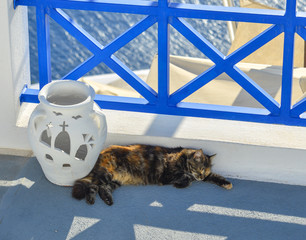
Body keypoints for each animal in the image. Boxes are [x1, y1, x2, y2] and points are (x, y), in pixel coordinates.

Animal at [73, 143, 233, 205]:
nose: (201, 177)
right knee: (92, 186)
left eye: (205, 171)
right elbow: (187, 177)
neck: (182, 159)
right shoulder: (168, 175)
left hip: (114, 180)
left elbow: (214, 177)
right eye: (200, 169)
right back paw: (90, 200)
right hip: (106, 174)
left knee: (102, 188)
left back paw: (108, 200)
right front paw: (180, 184)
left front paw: (226, 183)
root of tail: (101, 153)